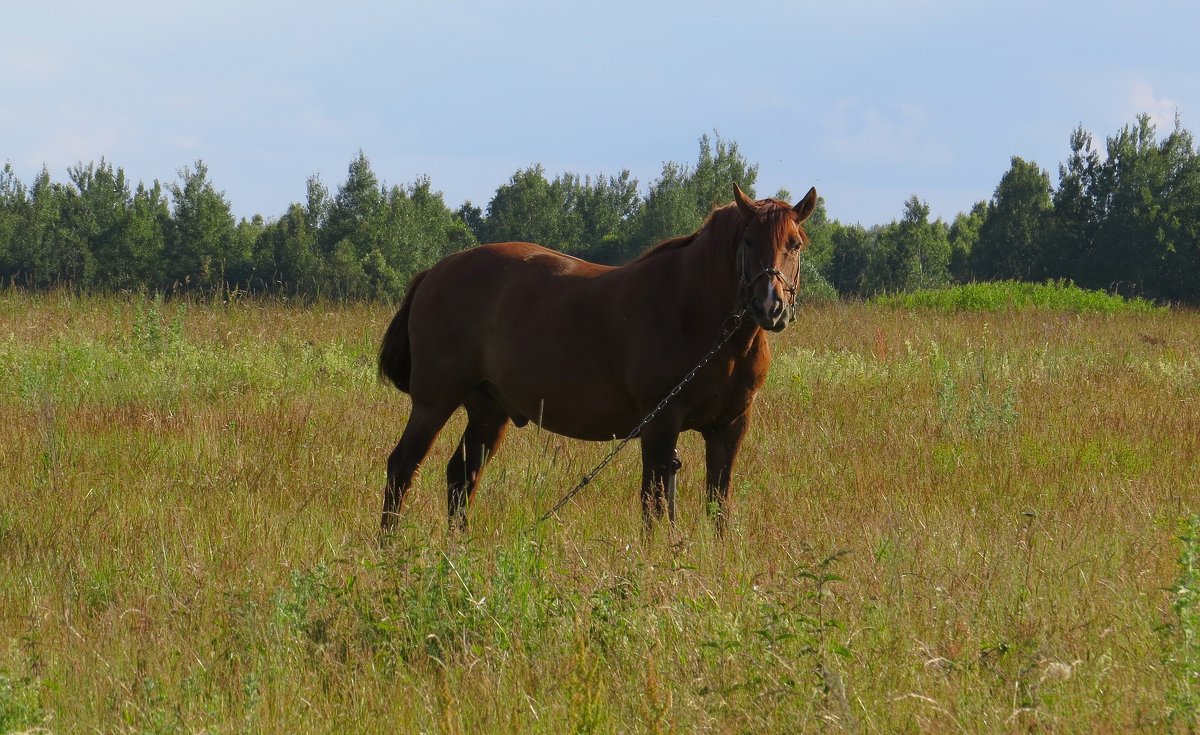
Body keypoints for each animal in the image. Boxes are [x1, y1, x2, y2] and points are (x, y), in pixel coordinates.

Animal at [379, 181, 820, 530]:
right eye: (748, 242)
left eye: (794, 245)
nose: (771, 307)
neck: (699, 319)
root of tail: (435, 271)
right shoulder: (661, 425)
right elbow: (654, 503)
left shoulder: (729, 427)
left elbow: (717, 504)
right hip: (435, 402)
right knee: (402, 467)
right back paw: (390, 548)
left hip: (488, 409)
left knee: (462, 476)